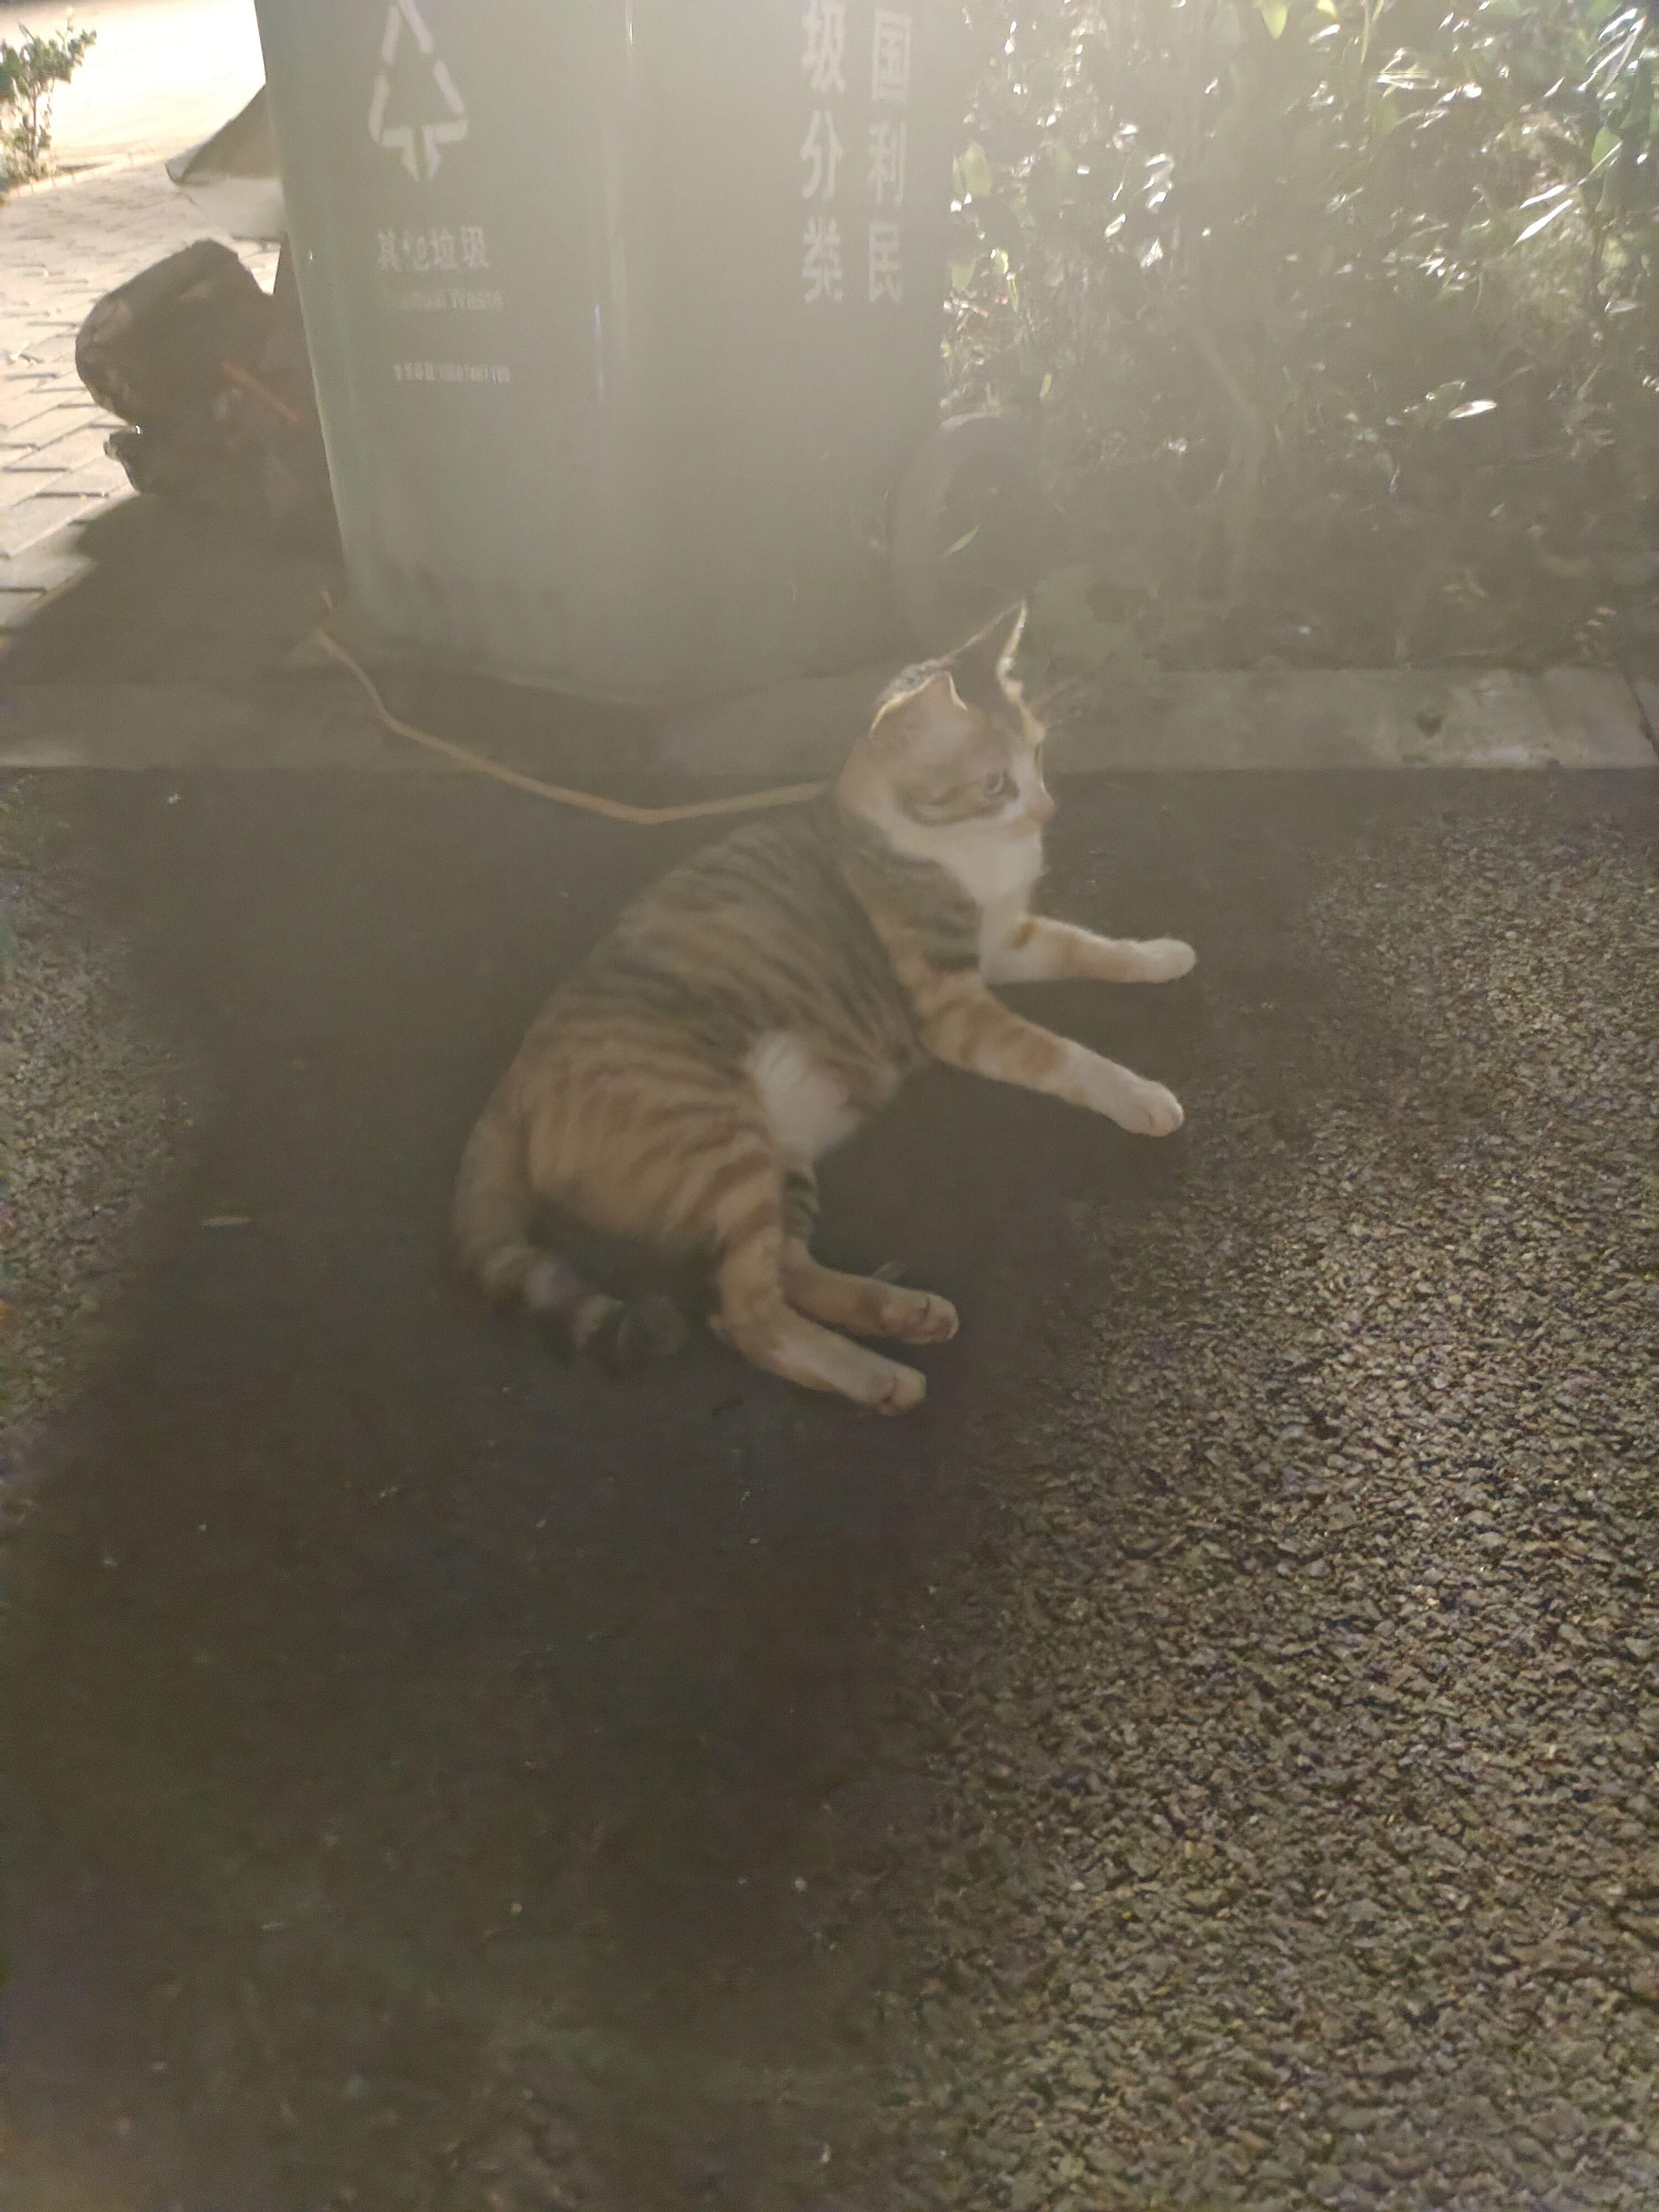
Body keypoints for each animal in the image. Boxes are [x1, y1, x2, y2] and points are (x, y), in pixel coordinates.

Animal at [453, 604, 1194, 1413]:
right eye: (997, 783)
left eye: (1037, 753)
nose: (1046, 809)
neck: (959, 850)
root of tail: (511, 1086)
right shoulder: (956, 1009)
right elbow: (1066, 1055)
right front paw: (1140, 1095)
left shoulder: (1006, 943)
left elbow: (1088, 946)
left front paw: (1160, 955)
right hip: (721, 1136)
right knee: (745, 1316)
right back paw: (878, 1373)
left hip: (781, 1160)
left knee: (781, 1273)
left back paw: (901, 1314)